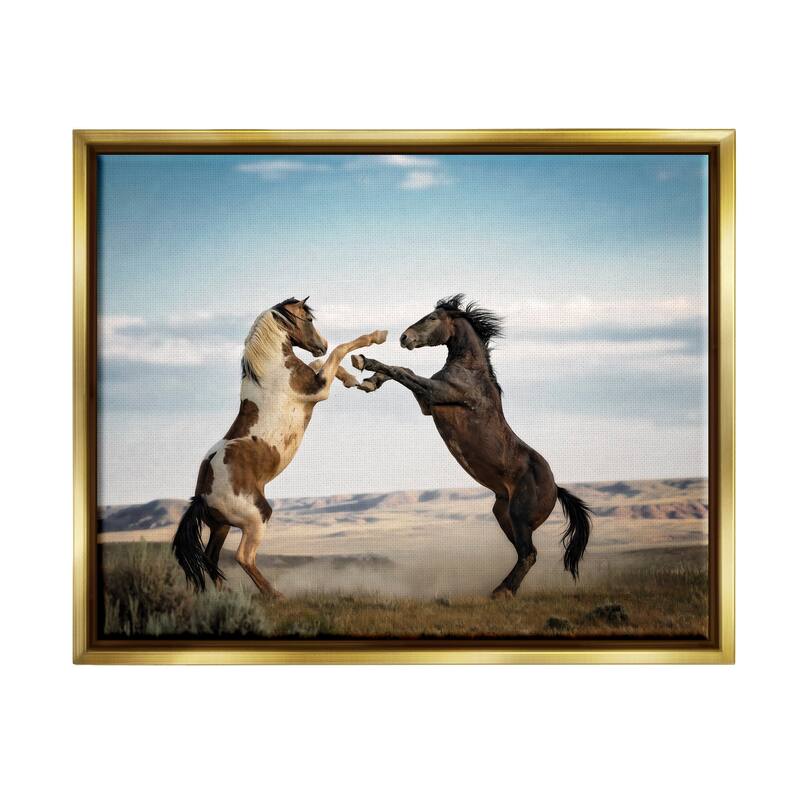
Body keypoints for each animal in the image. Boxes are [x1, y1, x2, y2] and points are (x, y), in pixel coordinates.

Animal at [172, 297, 387, 598]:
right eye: (308, 320)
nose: (321, 342)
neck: (272, 371)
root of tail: (202, 496)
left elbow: (323, 360)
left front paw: (354, 380)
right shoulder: (319, 389)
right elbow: (339, 350)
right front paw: (377, 337)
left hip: (221, 526)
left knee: (212, 559)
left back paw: (226, 595)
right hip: (256, 517)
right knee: (243, 557)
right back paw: (275, 595)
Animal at [352, 294, 591, 598]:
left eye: (432, 318)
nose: (404, 338)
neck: (470, 371)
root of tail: (556, 488)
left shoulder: (436, 393)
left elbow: (402, 371)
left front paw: (364, 361)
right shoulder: (428, 404)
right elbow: (403, 372)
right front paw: (370, 382)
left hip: (519, 516)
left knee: (529, 554)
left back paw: (501, 592)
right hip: (503, 514)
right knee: (523, 553)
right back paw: (502, 590)